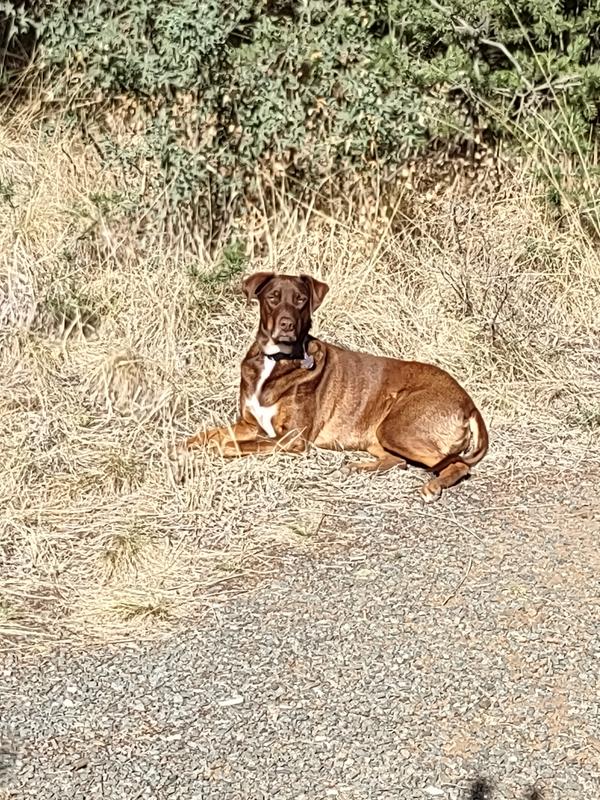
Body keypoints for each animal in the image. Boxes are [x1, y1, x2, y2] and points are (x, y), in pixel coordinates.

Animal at [179, 272, 488, 504]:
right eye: (273, 297)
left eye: (301, 299)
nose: (286, 325)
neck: (275, 360)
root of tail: (468, 403)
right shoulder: (249, 423)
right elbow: (209, 434)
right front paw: (179, 448)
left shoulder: (292, 437)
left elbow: (231, 444)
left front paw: (213, 450)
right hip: (379, 434)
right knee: (398, 461)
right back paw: (357, 467)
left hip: (397, 426)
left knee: (457, 464)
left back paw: (432, 487)